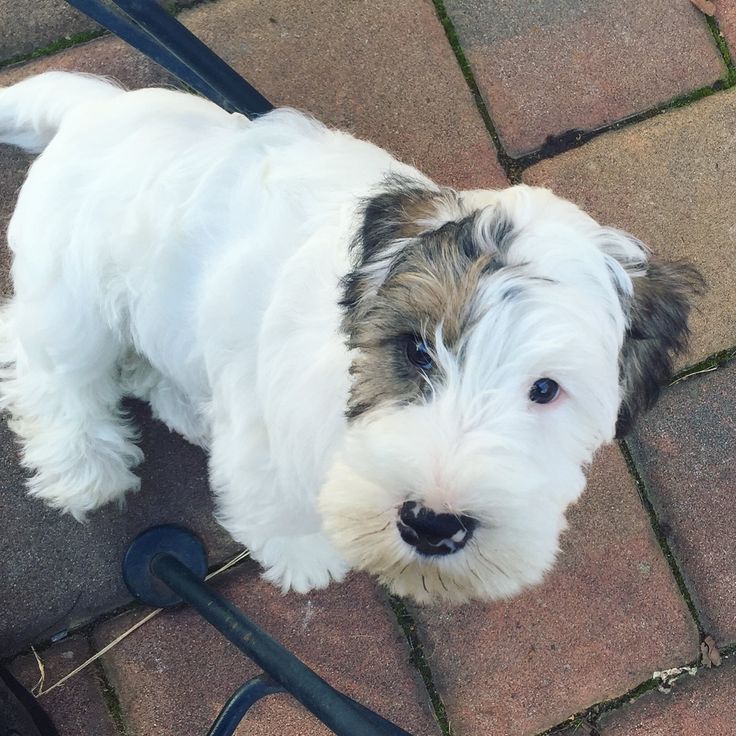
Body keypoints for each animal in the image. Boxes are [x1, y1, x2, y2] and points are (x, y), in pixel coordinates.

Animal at [0, 70, 700, 604]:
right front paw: (305, 556)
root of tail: (93, 108)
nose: (433, 525)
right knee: (49, 373)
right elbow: (271, 501)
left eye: (546, 390)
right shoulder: (263, 429)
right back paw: (86, 471)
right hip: (69, 301)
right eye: (415, 350)